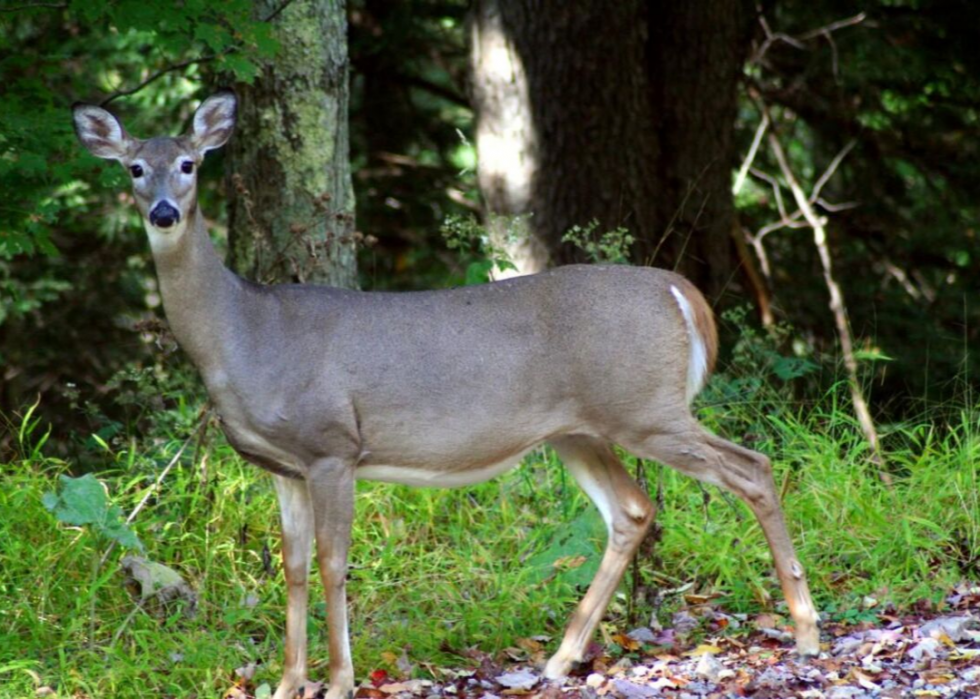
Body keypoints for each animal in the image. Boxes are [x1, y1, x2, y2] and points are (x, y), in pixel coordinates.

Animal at [71, 93, 820, 699]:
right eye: (133, 169)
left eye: (190, 162)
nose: (164, 211)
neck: (244, 333)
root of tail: (680, 290)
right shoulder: (281, 466)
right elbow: (294, 567)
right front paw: (287, 683)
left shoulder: (333, 445)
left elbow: (334, 564)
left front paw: (338, 681)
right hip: (580, 429)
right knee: (633, 510)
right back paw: (559, 659)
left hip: (644, 408)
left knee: (751, 467)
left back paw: (807, 631)